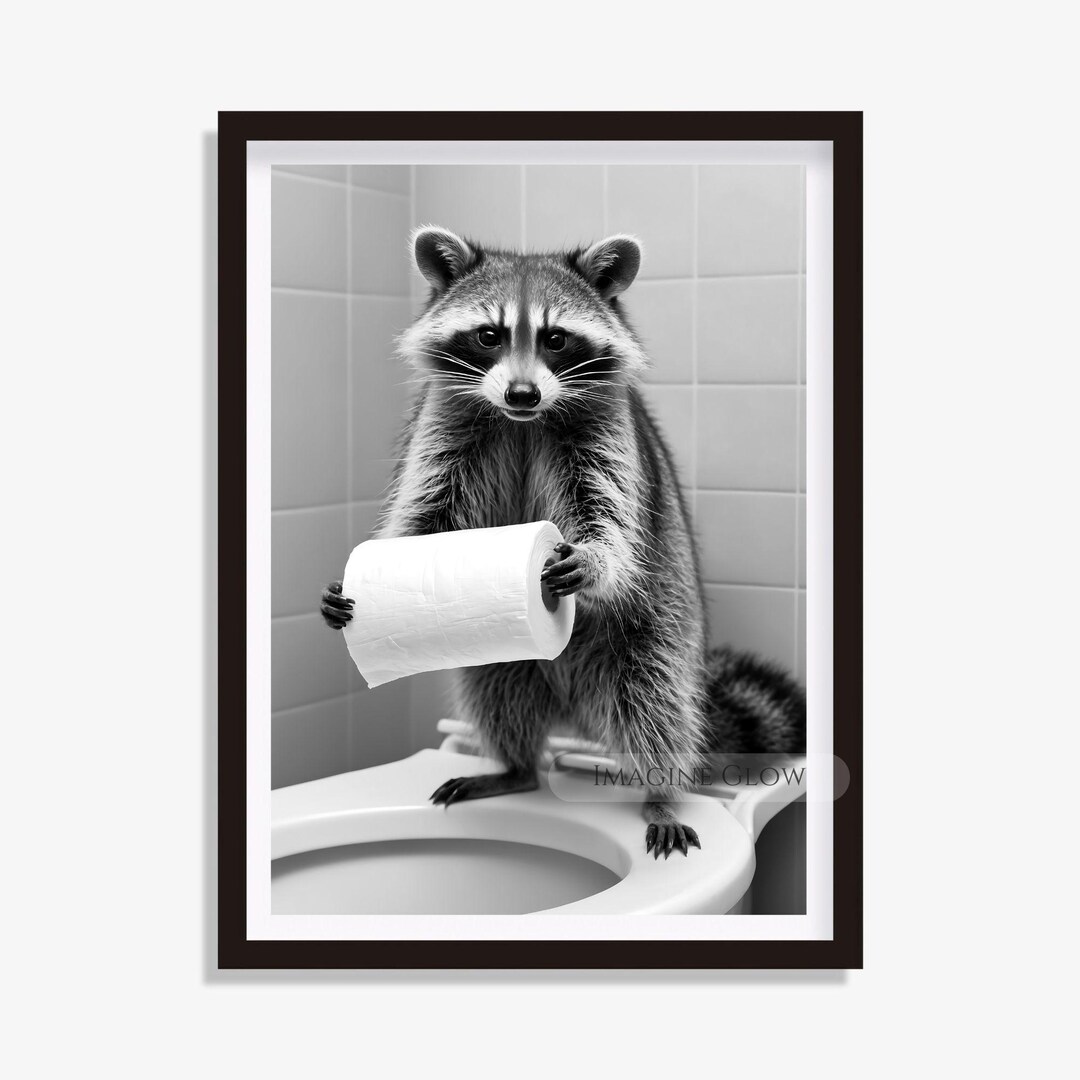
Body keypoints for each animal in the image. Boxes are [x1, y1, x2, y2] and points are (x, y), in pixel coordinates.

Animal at [320, 226, 805, 858]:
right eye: (489, 335)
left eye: (556, 339)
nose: (523, 393)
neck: (524, 422)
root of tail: (573, 710)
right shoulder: (442, 427)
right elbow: (427, 517)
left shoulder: (608, 435)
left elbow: (612, 516)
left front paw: (595, 560)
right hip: (507, 658)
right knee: (496, 690)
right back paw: (516, 767)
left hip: (656, 629)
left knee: (653, 700)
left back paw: (661, 789)